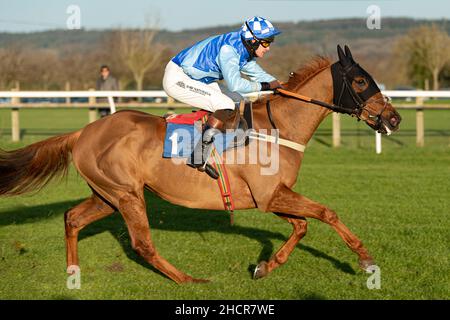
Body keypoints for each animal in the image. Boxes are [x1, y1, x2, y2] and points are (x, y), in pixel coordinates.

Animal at [0, 45, 400, 282]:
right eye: (361, 80)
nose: (393, 119)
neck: (278, 128)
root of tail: (83, 132)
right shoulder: (271, 195)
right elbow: (327, 213)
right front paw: (366, 260)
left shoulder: (270, 196)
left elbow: (301, 226)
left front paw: (264, 266)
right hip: (126, 194)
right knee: (142, 243)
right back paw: (188, 280)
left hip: (107, 194)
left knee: (72, 218)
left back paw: (73, 273)